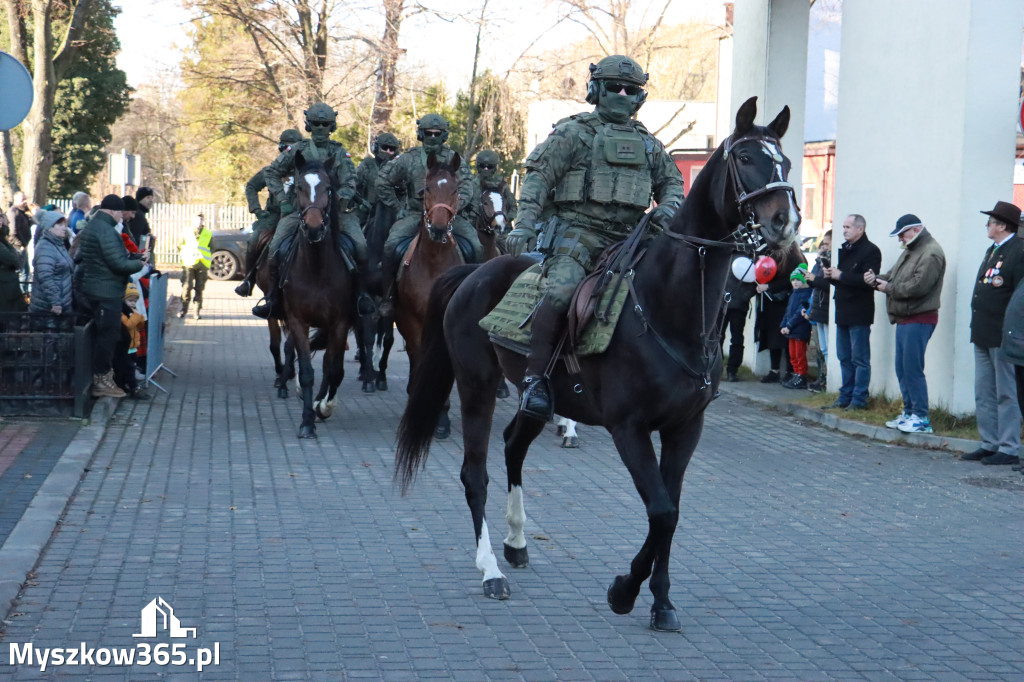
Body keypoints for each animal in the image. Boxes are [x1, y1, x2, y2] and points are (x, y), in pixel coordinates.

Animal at [395, 98, 802, 630]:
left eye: (786, 162)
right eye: (746, 158)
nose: (785, 223)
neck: (668, 307)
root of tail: (473, 271)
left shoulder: (685, 428)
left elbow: (671, 511)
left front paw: (662, 602)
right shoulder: (628, 427)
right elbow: (661, 510)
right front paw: (624, 591)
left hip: (537, 397)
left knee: (513, 446)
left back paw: (517, 541)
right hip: (477, 386)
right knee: (475, 473)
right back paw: (490, 571)